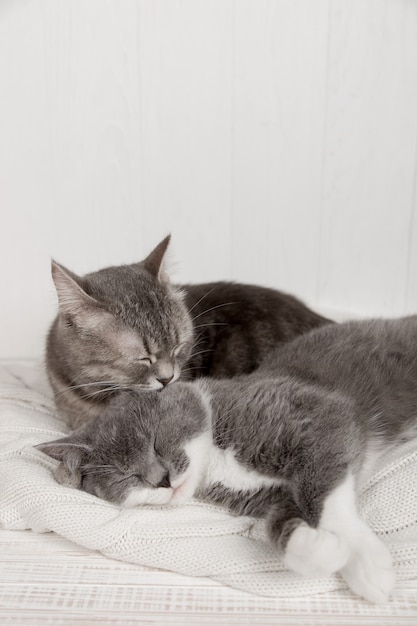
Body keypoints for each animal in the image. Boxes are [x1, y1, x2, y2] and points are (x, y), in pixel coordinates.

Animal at [36, 316, 417, 600]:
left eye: (155, 442)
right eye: (125, 475)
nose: (162, 480)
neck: (214, 459)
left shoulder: (319, 416)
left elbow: (324, 495)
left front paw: (368, 565)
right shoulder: (266, 495)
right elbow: (281, 521)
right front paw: (322, 550)